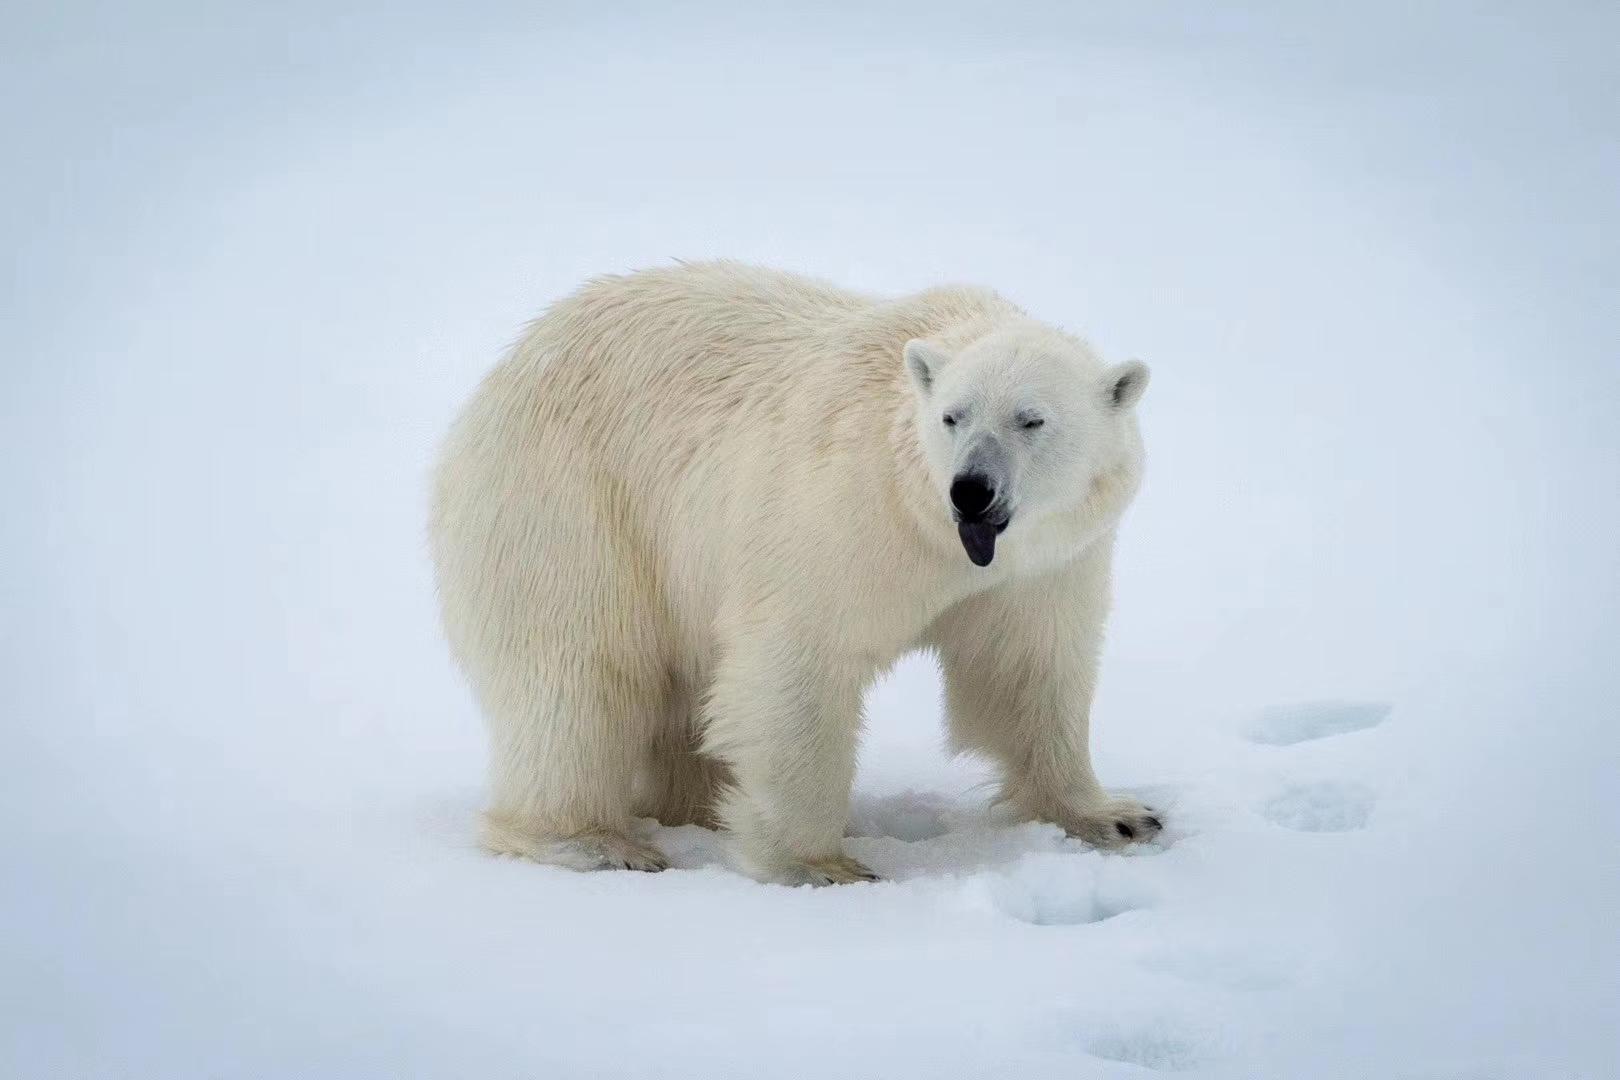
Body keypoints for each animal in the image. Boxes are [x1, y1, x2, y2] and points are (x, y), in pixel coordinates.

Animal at [430, 263, 1159, 887]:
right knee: (580, 670)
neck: (938, 536)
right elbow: (800, 663)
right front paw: (819, 864)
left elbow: (1027, 668)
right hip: (572, 502)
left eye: (1032, 419)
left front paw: (1117, 816)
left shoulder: (1047, 564)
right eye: (953, 416)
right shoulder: (845, 509)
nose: (971, 490)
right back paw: (592, 839)